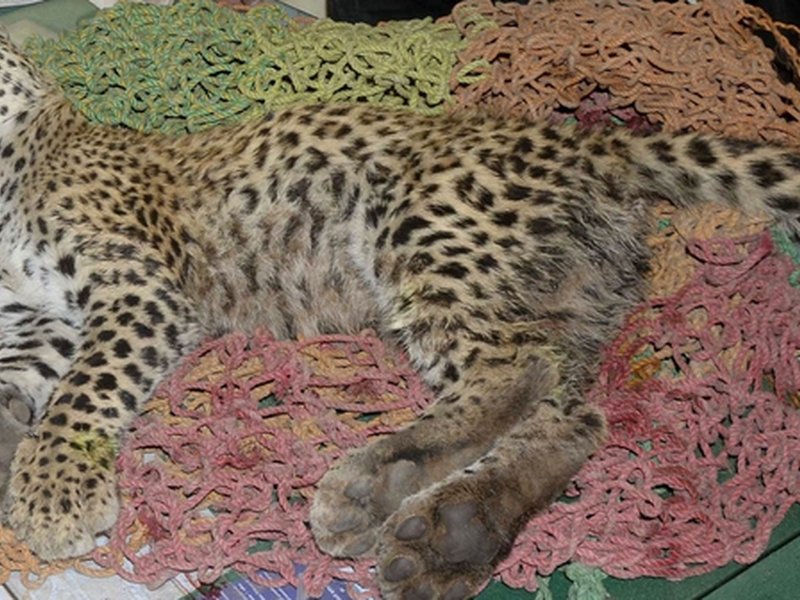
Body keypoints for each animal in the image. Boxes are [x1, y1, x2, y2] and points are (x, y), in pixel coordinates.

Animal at [0, 27, 798, 600]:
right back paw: (453, 533)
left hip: (424, 229)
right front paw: (13, 429)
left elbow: (87, 387)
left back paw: (373, 485)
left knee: (515, 368)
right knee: (572, 415)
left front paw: (53, 492)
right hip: (566, 297)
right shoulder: (42, 319)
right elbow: (25, 374)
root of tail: (590, 140)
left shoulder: (137, 284)